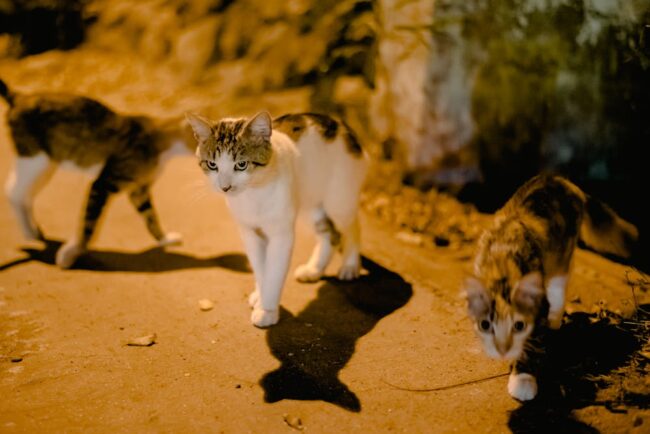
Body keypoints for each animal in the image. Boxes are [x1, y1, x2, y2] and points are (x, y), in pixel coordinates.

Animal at [0, 78, 192, 268]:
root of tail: (20, 96)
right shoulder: (103, 183)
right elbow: (88, 224)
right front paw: (71, 253)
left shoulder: (139, 190)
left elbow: (151, 217)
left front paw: (165, 239)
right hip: (36, 160)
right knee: (13, 191)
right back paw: (29, 232)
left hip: (46, 165)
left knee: (25, 194)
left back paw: (34, 229)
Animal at [187, 111, 368, 326]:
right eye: (212, 165)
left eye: (241, 165)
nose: (225, 187)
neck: (253, 193)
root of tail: (339, 124)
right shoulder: (250, 234)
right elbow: (260, 269)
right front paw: (260, 295)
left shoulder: (281, 236)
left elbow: (274, 273)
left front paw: (267, 310)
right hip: (310, 205)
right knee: (330, 235)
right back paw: (314, 269)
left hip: (339, 201)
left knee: (353, 226)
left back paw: (350, 266)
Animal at [464, 173, 636, 400]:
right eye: (486, 325)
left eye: (518, 325)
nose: (503, 349)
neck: (502, 263)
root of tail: (562, 180)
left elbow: (532, 345)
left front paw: (523, 378)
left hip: (561, 256)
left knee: (558, 286)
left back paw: (554, 319)